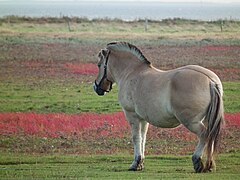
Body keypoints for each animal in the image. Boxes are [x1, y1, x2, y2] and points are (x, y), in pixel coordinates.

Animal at [93, 41, 224, 172]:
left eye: (99, 65)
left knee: (204, 134)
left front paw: (135, 163)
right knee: (211, 136)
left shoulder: (132, 115)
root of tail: (210, 81)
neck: (131, 72)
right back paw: (209, 165)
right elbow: (143, 138)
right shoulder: (143, 119)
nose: (96, 87)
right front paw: (140, 163)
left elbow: (136, 138)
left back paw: (197, 161)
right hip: (207, 119)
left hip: (191, 122)